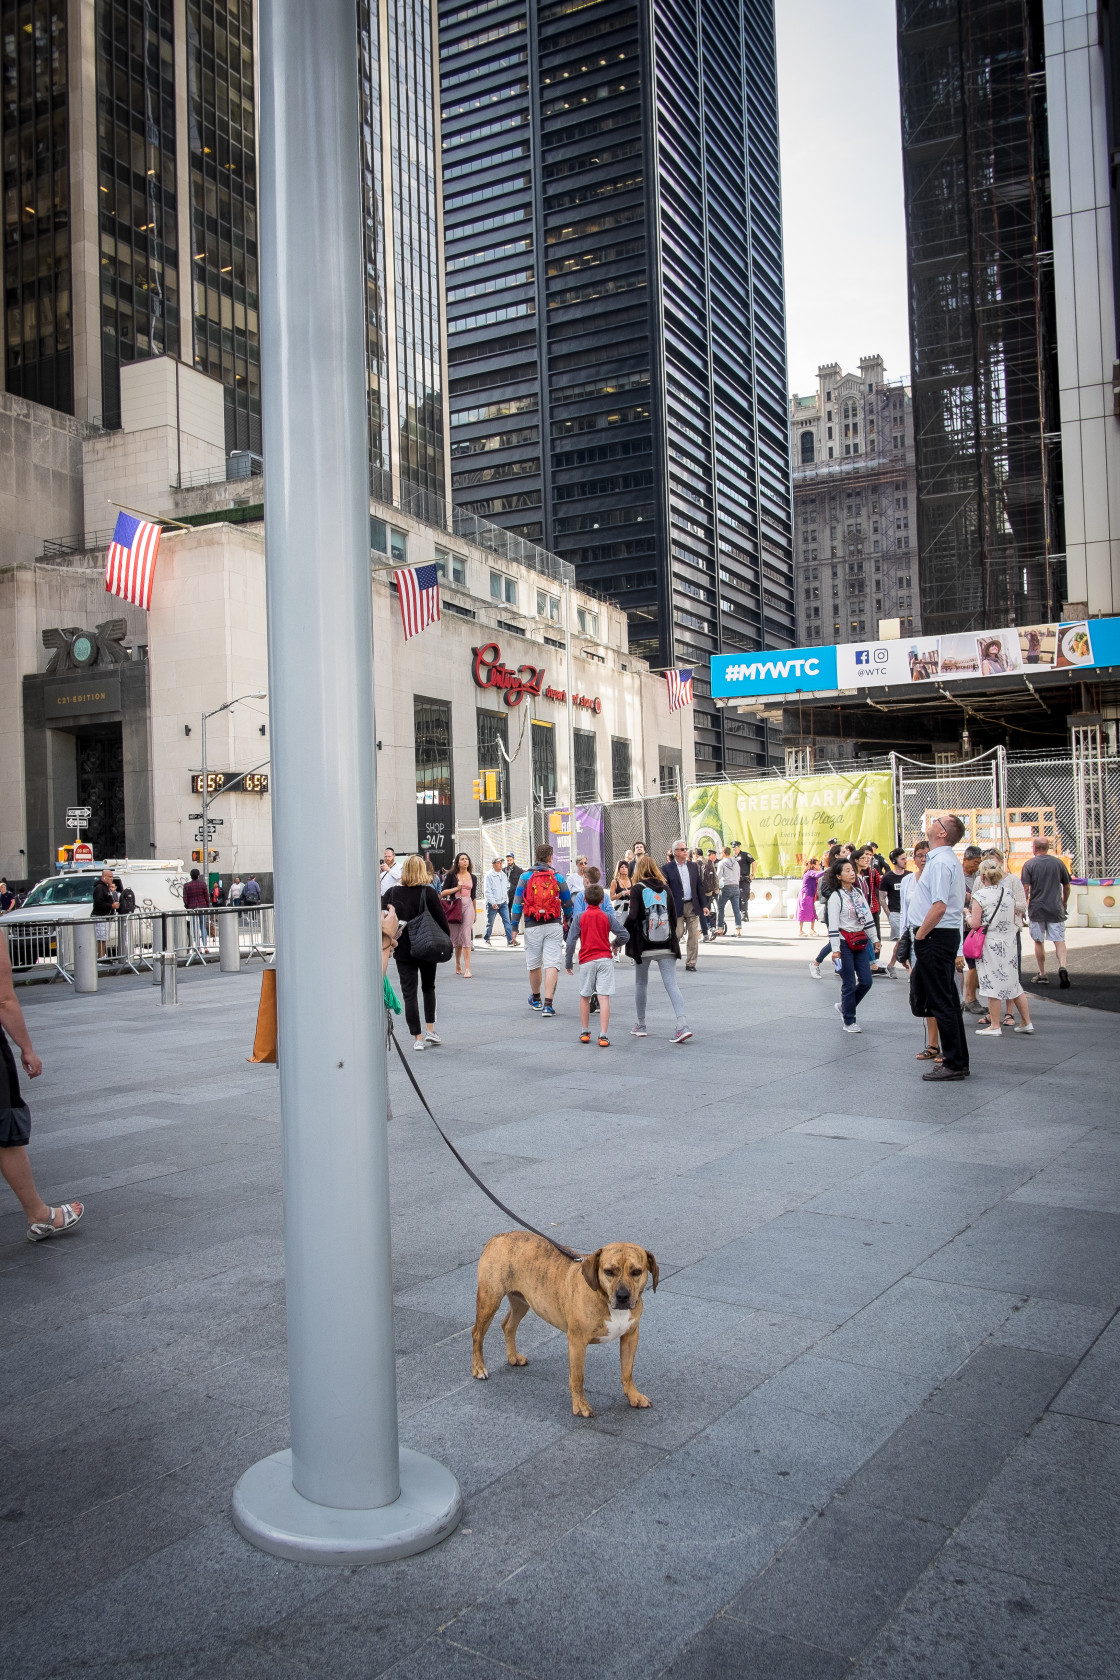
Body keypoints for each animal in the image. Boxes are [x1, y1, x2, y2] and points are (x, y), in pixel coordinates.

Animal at [470, 1229, 658, 1411]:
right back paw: (479, 1368)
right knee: (477, 1333)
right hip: (489, 1300)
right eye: (609, 1272)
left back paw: (513, 1356)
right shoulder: (577, 1342)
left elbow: (627, 1371)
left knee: (508, 1326)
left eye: (636, 1272)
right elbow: (577, 1377)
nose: (623, 1296)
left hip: (522, 1302)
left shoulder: (630, 1336)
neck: (604, 1298)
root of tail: (499, 1237)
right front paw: (580, 1405)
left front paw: (634, 1396)